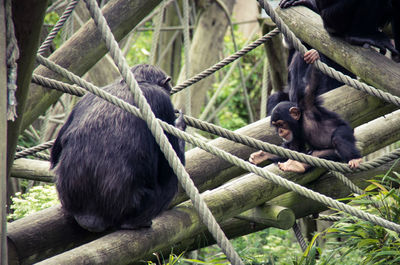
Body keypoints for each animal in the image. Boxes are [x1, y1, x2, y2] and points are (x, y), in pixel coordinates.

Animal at [50, 63, 186, 231]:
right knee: (170, 182)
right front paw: (179, 124)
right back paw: (137, 223)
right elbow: (169, 167)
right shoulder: (162, 103)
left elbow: (55, 154)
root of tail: (91, 218)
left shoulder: (85, 98)